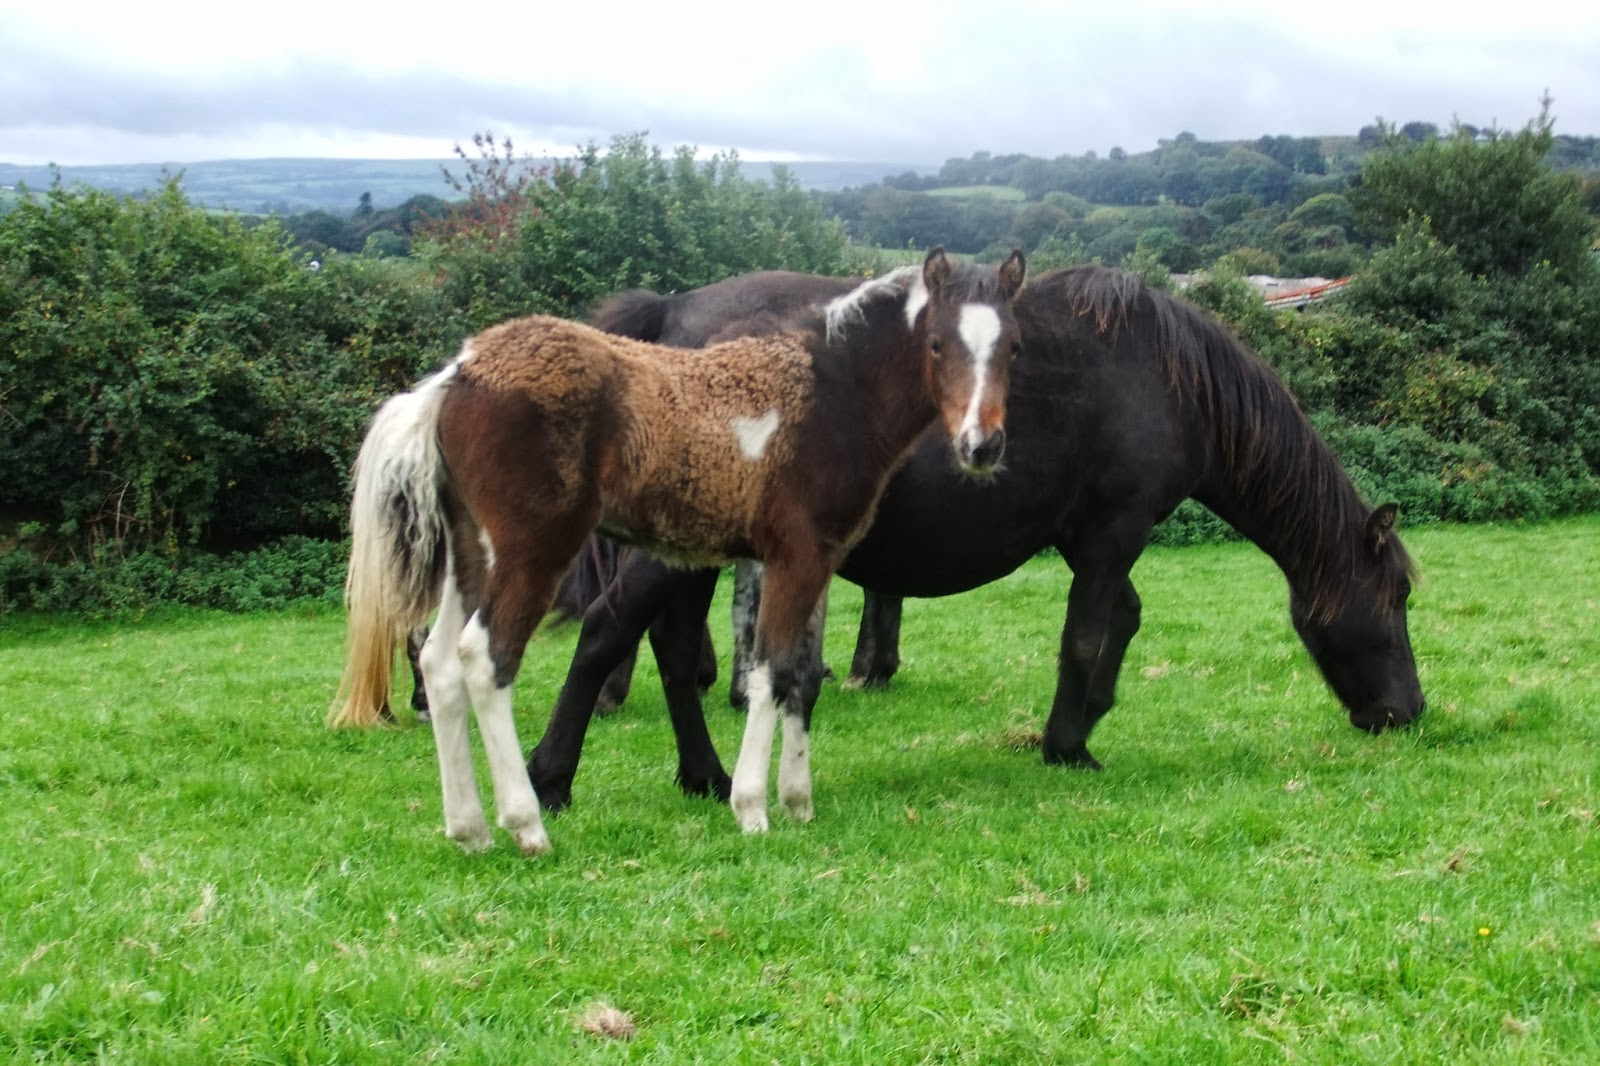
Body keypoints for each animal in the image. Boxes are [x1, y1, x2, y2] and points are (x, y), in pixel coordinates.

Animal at [330, 248, 1028, 853]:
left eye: (1014, 346)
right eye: (936, 344)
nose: (981, 445)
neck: (829, 391)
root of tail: (457, 375)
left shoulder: (818, 560)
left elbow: (801, 675)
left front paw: (799, 802)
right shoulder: (796, 553)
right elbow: (771, 671)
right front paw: (753, 807)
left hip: (472, 554)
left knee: (439, 659)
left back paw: (469, 830)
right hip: (533, 550)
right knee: (486, 657)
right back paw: (528, 824)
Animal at [519, 264, 1424, 814]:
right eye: (1398, 599)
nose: (1408, 713)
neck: (1167, 376)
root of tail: (672, 314)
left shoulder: (1089, 538)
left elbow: (1120, 623)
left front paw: (1090, 716)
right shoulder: (1113, 532)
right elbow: (1086, 634)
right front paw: (1068, 746)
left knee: (672, 646)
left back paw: (703, 775)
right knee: (608, 628)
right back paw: (550, 778)